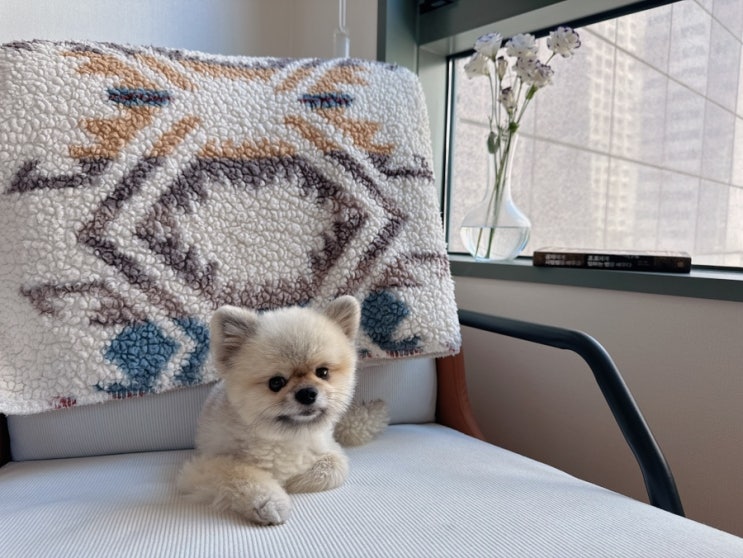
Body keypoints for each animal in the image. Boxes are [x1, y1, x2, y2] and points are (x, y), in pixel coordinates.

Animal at [178, 296, 387, 525]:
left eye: (322, 372)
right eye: (276, 383)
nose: (307, 393)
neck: (286, 438)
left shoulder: (329, 449)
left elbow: (334, 468)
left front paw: (294, 481)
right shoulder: (203, 466)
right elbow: (241, 474)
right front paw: (269, 501)